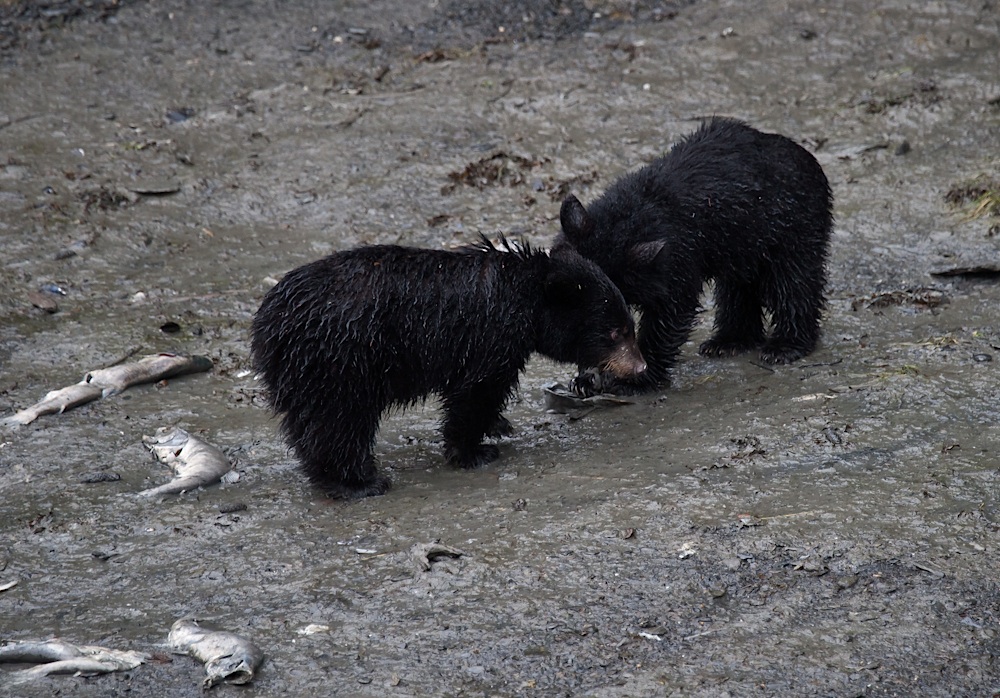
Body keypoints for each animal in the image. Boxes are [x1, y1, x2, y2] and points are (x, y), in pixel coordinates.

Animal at [246, 237, 644, 498]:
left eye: (630, 325)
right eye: (616, 331)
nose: (639, 367)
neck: (527, 295)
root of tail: (267, 324)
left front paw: (498, 425)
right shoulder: (489, 335)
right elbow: (476, 390)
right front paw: (473, 451)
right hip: (341, 361)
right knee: (338, 421)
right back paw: (359, 482)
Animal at [560, 115, 832, 392]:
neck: (632, 213)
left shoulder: (676, 259)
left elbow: (670, 311)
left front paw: (634, 381)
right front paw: (586, 378)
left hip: (794, 229)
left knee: (794, 282)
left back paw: (785, 346)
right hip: (742, 244)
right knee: (737, 288)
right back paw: (729, 342)